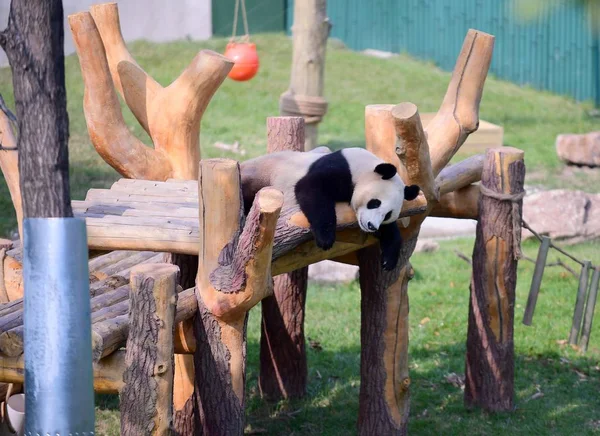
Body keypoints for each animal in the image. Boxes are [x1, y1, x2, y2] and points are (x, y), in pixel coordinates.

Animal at [241, 147, 420, 270]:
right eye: (375, 203)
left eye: (388, 214)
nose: (371, 226)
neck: (364, 168)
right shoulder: (341, 170)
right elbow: (310, 189)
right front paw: (325, 238)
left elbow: (391, 231)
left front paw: (388, 259)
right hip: (261, 175)